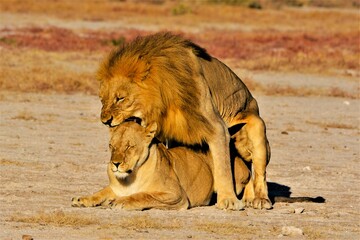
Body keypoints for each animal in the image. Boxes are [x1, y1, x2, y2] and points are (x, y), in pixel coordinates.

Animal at [71, 122, 249, 210]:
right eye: (111, 146)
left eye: (129, 146)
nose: (115, 163)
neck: (130, 177)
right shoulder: (115, 188)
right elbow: (100, 193)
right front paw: (82, 199)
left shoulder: (176, 195)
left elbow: (144, 195)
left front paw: (121, 202)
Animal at [97, 32, 272, 210]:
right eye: (102, 99)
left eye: (120, 98)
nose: (105, 121)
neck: (164, 98)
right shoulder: (172, 134)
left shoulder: (217, 127)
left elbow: (223, 167)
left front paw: (228, 200)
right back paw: (248, 198)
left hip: (257, 129)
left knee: (258, 172)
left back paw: (260, 199)